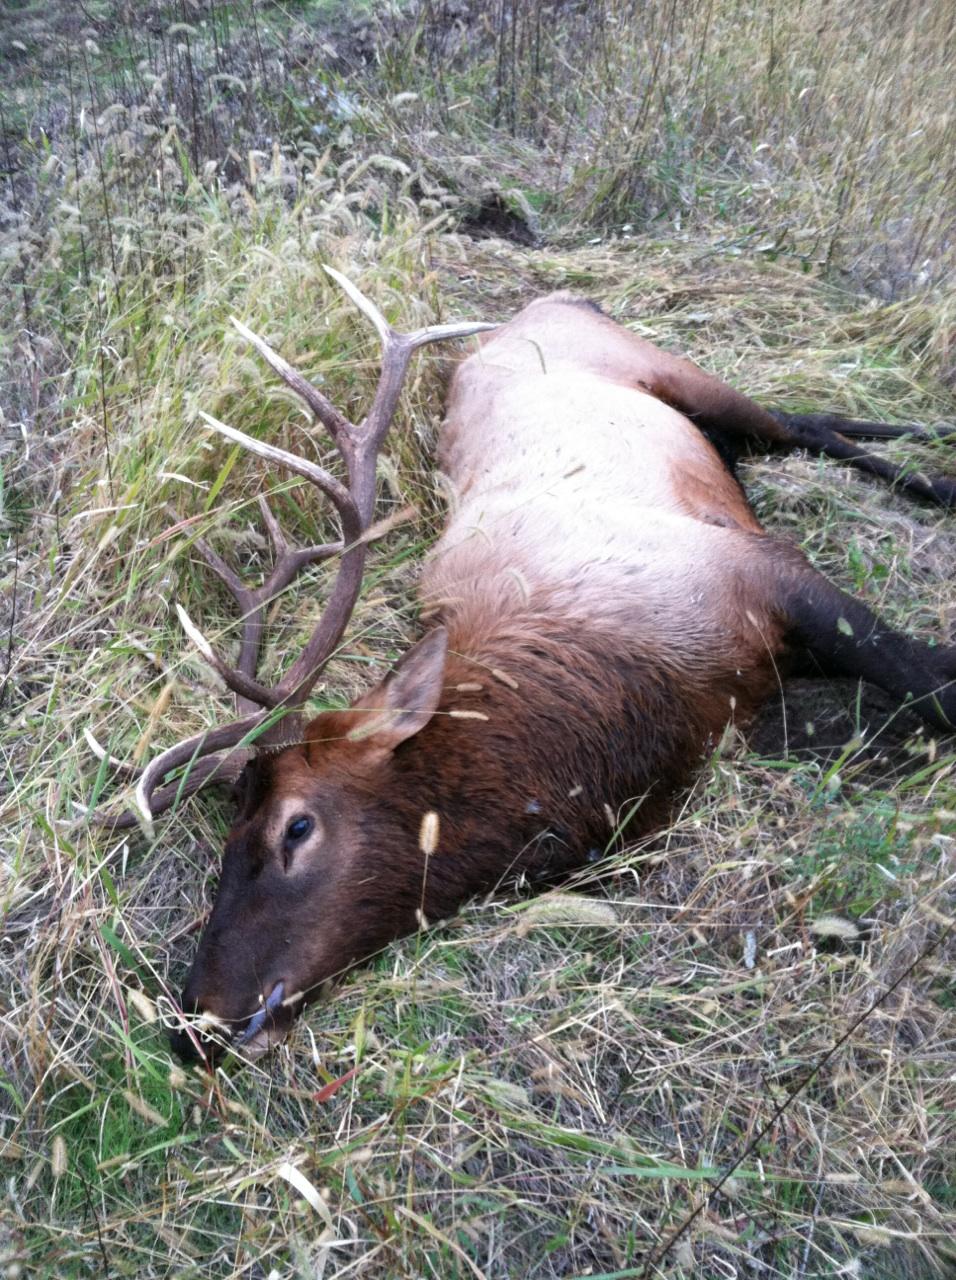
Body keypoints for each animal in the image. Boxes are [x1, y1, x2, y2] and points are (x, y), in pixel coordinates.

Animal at [88, 270, 956, 1063]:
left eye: (295, 827)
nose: (193, 1023)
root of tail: (556, 299)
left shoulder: (762, 570)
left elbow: (932, 677)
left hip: (667, 365)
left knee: (806, 422)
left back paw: (934, 468)